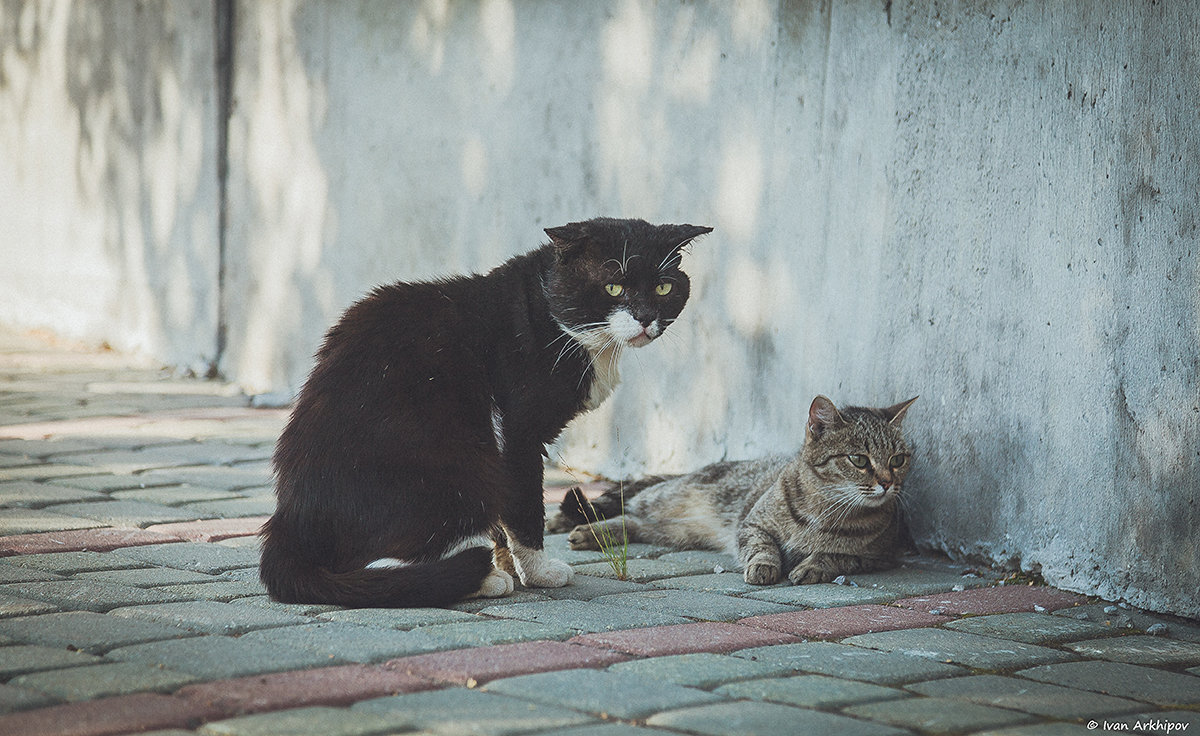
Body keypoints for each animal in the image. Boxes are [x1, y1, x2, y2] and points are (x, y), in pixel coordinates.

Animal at [260, 214, 710, 605]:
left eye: (664, 288)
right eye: (614, 287)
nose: (646, 317)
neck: (551, 320)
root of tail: (291, 517)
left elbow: (504, 522)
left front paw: (510, 565)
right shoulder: (517, 434)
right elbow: (525, 510)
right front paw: (537, 572)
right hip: (455, 464)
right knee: (380, 563)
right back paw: (479, 579)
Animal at [552, 396, 916, 585]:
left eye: (898, 459)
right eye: (859, 459)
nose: (888, 483)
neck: (826, 510)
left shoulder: (880, 555)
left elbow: (839, 555)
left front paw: (813, 566)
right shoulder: (751, 524)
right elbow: (762, 546)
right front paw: (765, 565)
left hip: (674, 532)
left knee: (633, 523)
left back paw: (591, 533)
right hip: (662, 499)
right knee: (623, 505)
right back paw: (570, 525)